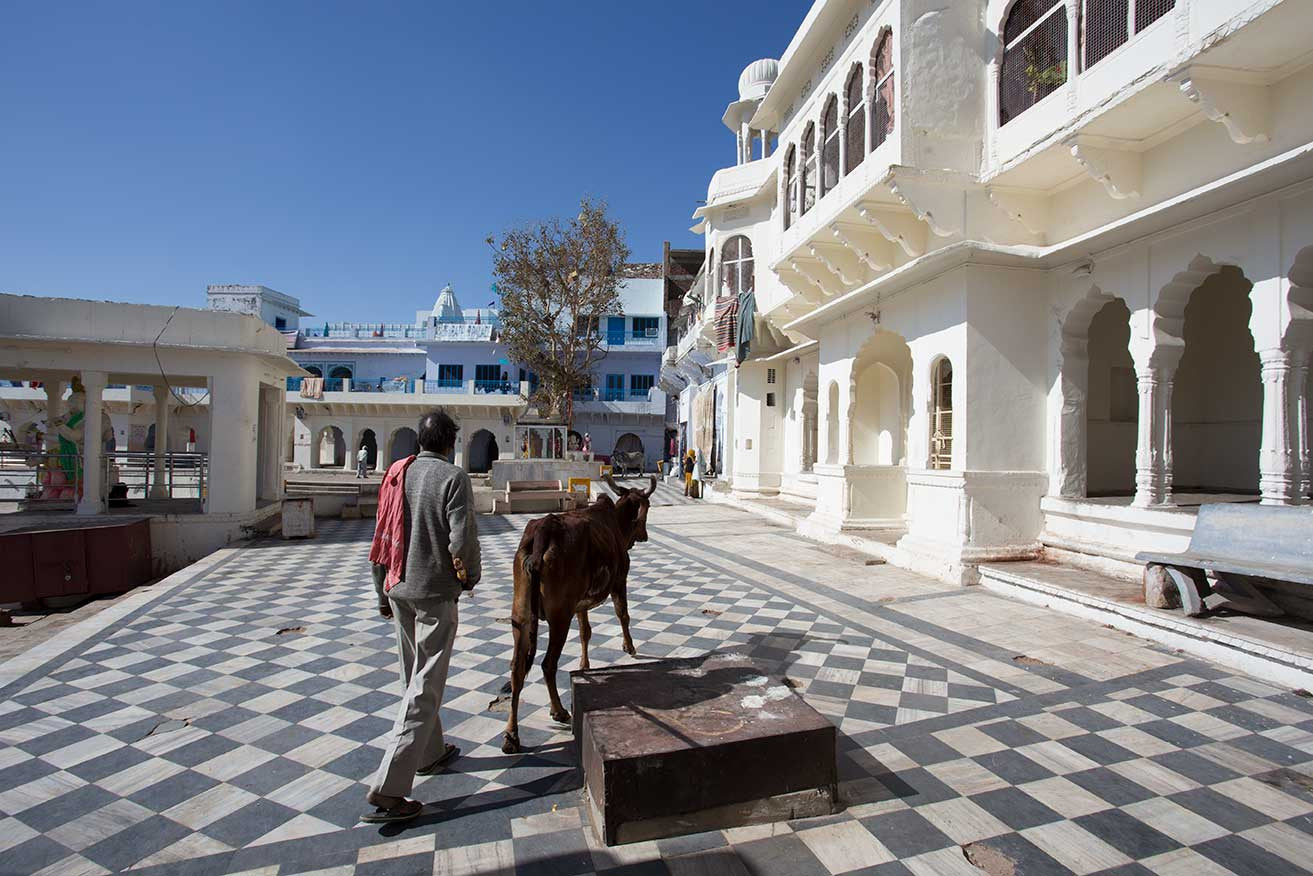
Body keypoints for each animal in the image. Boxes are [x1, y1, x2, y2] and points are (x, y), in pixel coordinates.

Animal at [498, 472, 653, 756]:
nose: (644, 535)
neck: (616, 524)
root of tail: (544, 531)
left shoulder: (580, 604)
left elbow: (585, 632)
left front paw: (584, 665)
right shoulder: (619, 581)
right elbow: (623, 614)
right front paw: (629, 646)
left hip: (521, 618)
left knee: (517, 669)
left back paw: (511, 735)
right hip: (560, 617)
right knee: (548, 664)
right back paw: (558, 711)